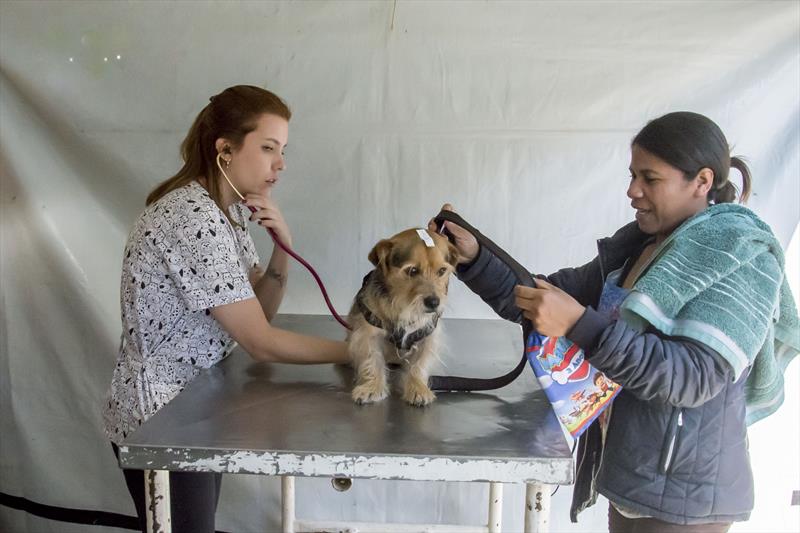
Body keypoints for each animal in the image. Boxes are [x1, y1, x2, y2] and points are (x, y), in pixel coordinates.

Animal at [348, 227, 460, 406]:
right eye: (412, 270)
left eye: (442, 271)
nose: (434, 302)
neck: (405, 306)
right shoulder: (368, 334)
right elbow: (372, 360)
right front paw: (372, 387)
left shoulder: (428, 337)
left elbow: (420, 365)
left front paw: (418, 388)